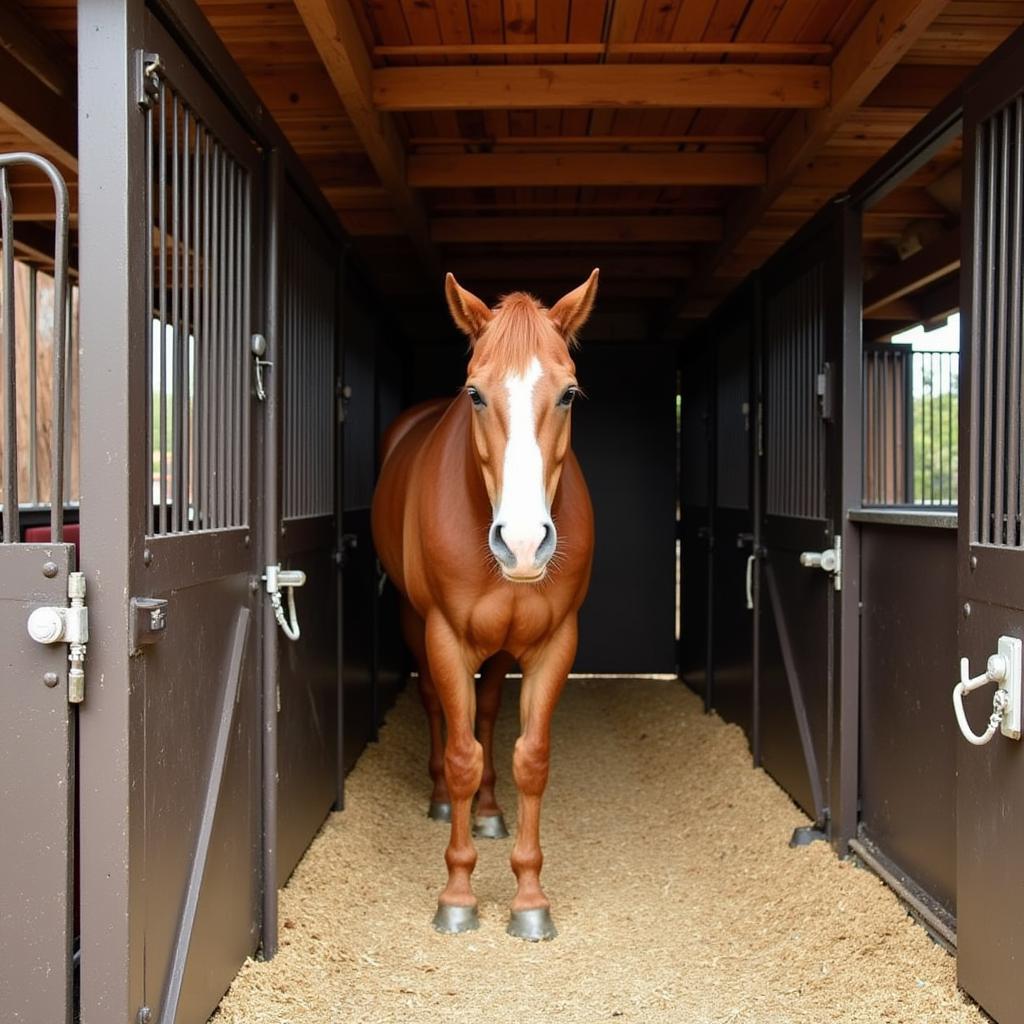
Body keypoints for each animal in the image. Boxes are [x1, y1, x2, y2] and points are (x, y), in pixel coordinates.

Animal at [372, 270, 598, 937]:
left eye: (568, 394)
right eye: (475, 393)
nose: (522, 542)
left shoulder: (556, 642)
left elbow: (530, 758)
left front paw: (529, 897)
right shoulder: (445, 637)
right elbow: (461, 754)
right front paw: (458, 894)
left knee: (491, 711)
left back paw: (490, 811)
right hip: (414, 621)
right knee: (440, 712)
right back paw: (445, 800)